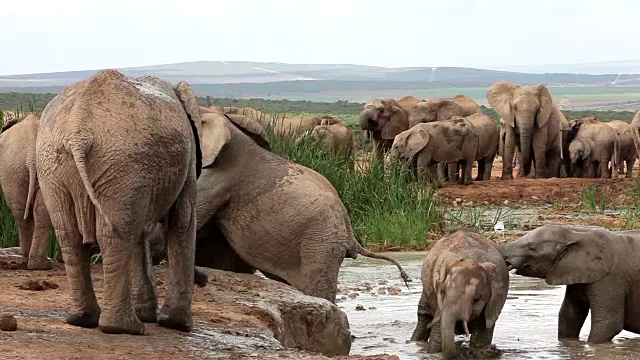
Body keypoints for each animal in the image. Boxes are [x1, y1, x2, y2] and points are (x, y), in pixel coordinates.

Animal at [0, 114, 54, 268]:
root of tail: (31, 155)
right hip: (19, 170)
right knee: (37, 211)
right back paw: (38, 264)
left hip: (12, 171)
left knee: (20, 212)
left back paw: (29, 259)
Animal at [35, 69, 200, 334]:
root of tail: (78, 130)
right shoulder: (189, 156)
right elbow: (183, 219)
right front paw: (178, 325)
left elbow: (143, 230)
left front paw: (152, 316)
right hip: (123, 163)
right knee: (116, 235)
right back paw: (124, 328)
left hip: (54, 165)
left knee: (70, 236)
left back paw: (84, 319)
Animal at [410, 229, 510, 358]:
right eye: (443, 292)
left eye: (476, 299)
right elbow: (437, 340)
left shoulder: (493, 304)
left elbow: (482, 334)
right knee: (423, 316)